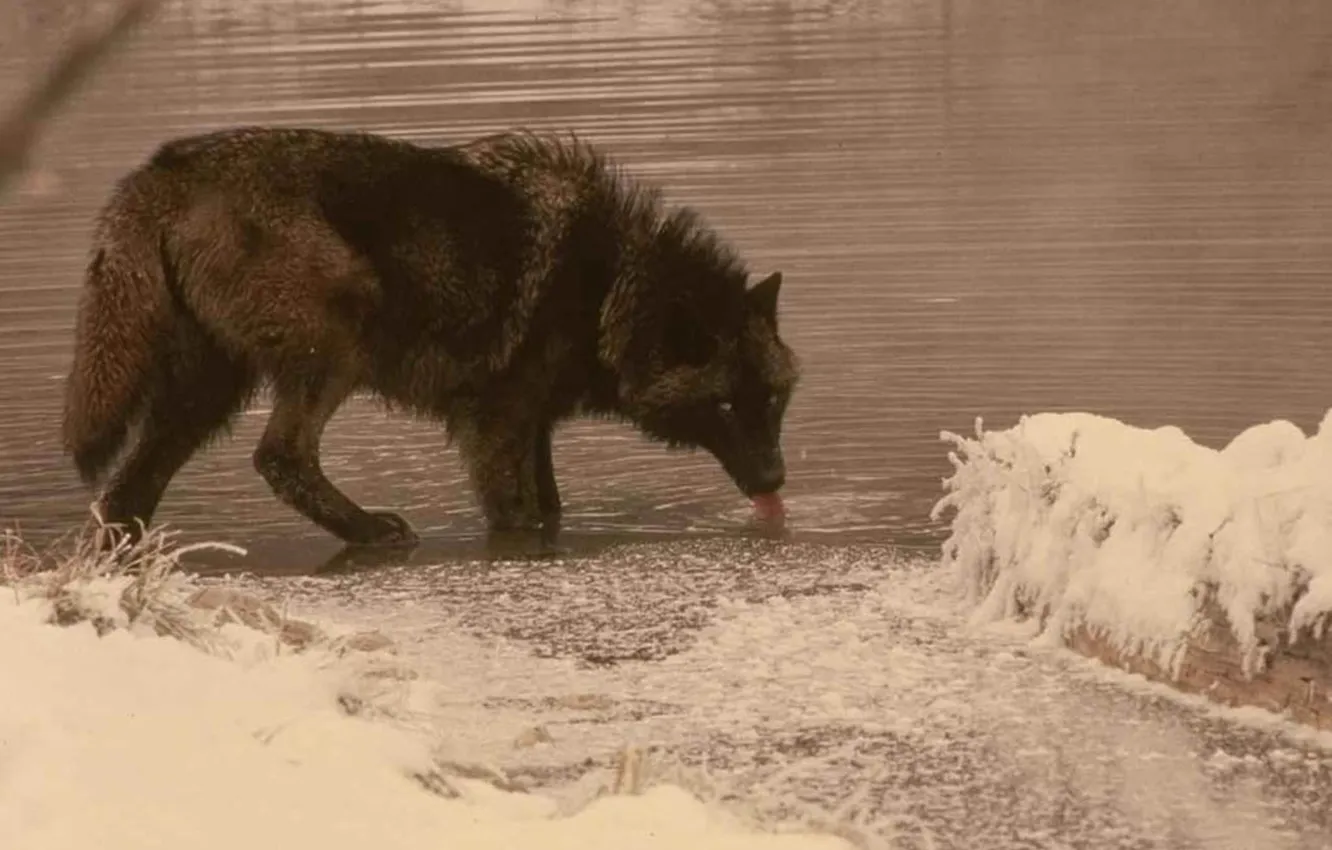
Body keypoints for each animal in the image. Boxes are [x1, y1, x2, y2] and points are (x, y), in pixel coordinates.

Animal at [60, 126, 799, 548]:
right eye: (723, 404)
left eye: (772, 401)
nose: (776, 479)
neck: (611, 284)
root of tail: (163, 170)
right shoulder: (494, 426)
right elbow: (517, 517)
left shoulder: (532, 424)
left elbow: (551, 510)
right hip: (333, 348)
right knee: (281, 457)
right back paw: (371, 530)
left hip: (208, 393)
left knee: (126, 493)